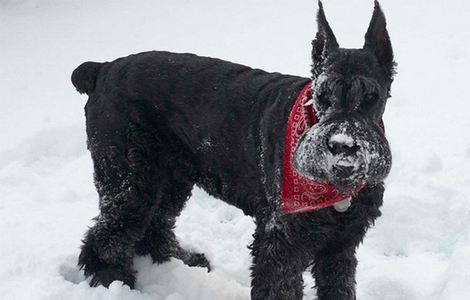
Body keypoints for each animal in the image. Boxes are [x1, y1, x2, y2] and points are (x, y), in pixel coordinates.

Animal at [71, 1, 394, 298]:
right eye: (322, 95)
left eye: (371, 96)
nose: (341, 145)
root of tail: (103, 69)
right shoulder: (281, 245)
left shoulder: (341, 244)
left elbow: (339, 286)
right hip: (129, 178)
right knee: (107, 235)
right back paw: (115, 281)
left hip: (169, 177)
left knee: (155, 224)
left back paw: (183, 259)